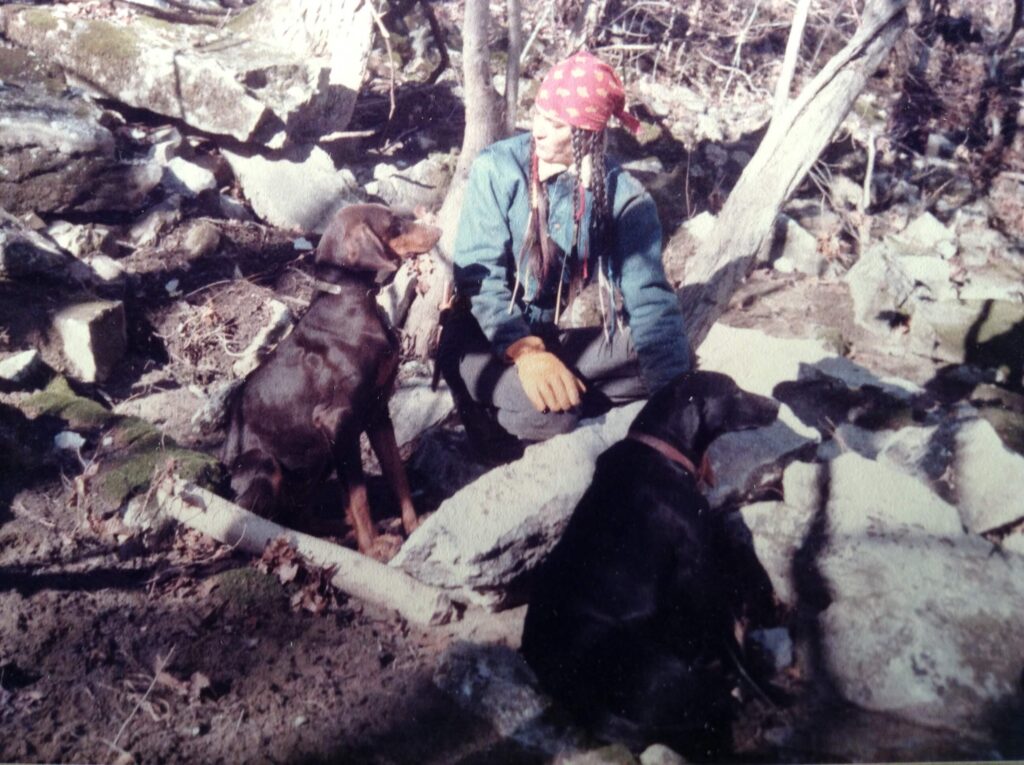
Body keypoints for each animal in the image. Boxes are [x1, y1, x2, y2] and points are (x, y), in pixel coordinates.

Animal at [224, 206, 440, 561]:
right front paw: (374, 548)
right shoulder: (337, 422)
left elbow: (397, 475)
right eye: (395, 224)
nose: (438, 232)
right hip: (266, 463)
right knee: (271, 522)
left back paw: (342, 530)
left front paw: (413, 525)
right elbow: (358, 494)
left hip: (319, 459)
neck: (349, 304)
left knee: (301, 516)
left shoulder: (377, 412)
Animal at [520, 372, 774, 761]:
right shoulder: (698, 566)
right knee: (718, 704)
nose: (775, 405)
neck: (661, 450)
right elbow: (727, 635)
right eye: (733, 392)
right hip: (668, 674)